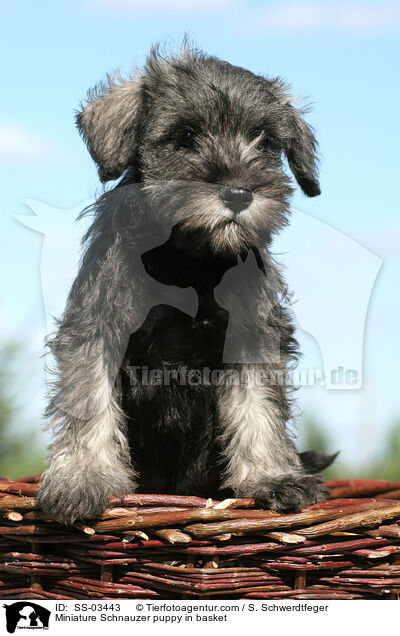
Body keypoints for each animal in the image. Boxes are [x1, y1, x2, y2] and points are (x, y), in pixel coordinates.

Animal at [36, 42, 334, 524]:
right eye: (186, 136)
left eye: (266, 141)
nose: (238, 192)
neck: (189, 262)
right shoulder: (98, 330)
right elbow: (89, 402)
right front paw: (81, 480)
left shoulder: (252, 339)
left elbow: (259, 408)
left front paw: (273, 477)